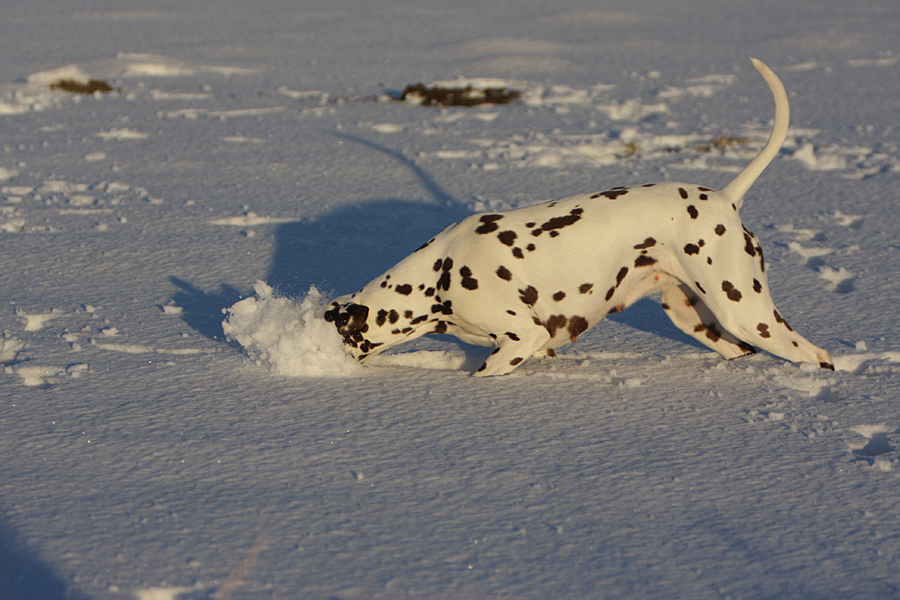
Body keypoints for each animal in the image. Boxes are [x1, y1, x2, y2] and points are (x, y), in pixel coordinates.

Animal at [326, 59, 836, 376]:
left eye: (339, 336)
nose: (323, 358)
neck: (440, 274)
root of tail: (726, 199)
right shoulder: (538, 346)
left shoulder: (522, 338)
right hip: (696, 319)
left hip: (747, 313)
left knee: (817, 355)